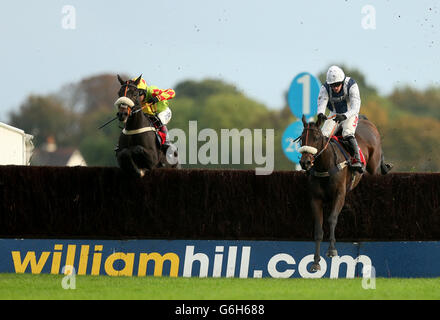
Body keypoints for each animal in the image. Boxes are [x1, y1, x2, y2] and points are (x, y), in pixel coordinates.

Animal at [300, 114, 392, 272]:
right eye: (301, 138)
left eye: (316, 137)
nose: (305, 162)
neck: (325, 166)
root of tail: (365, 120)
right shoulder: (315, 199)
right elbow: (318, 229)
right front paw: (316, 262)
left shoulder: (339, 195)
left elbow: (332, 219)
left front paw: (332, 250)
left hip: (374, 168)